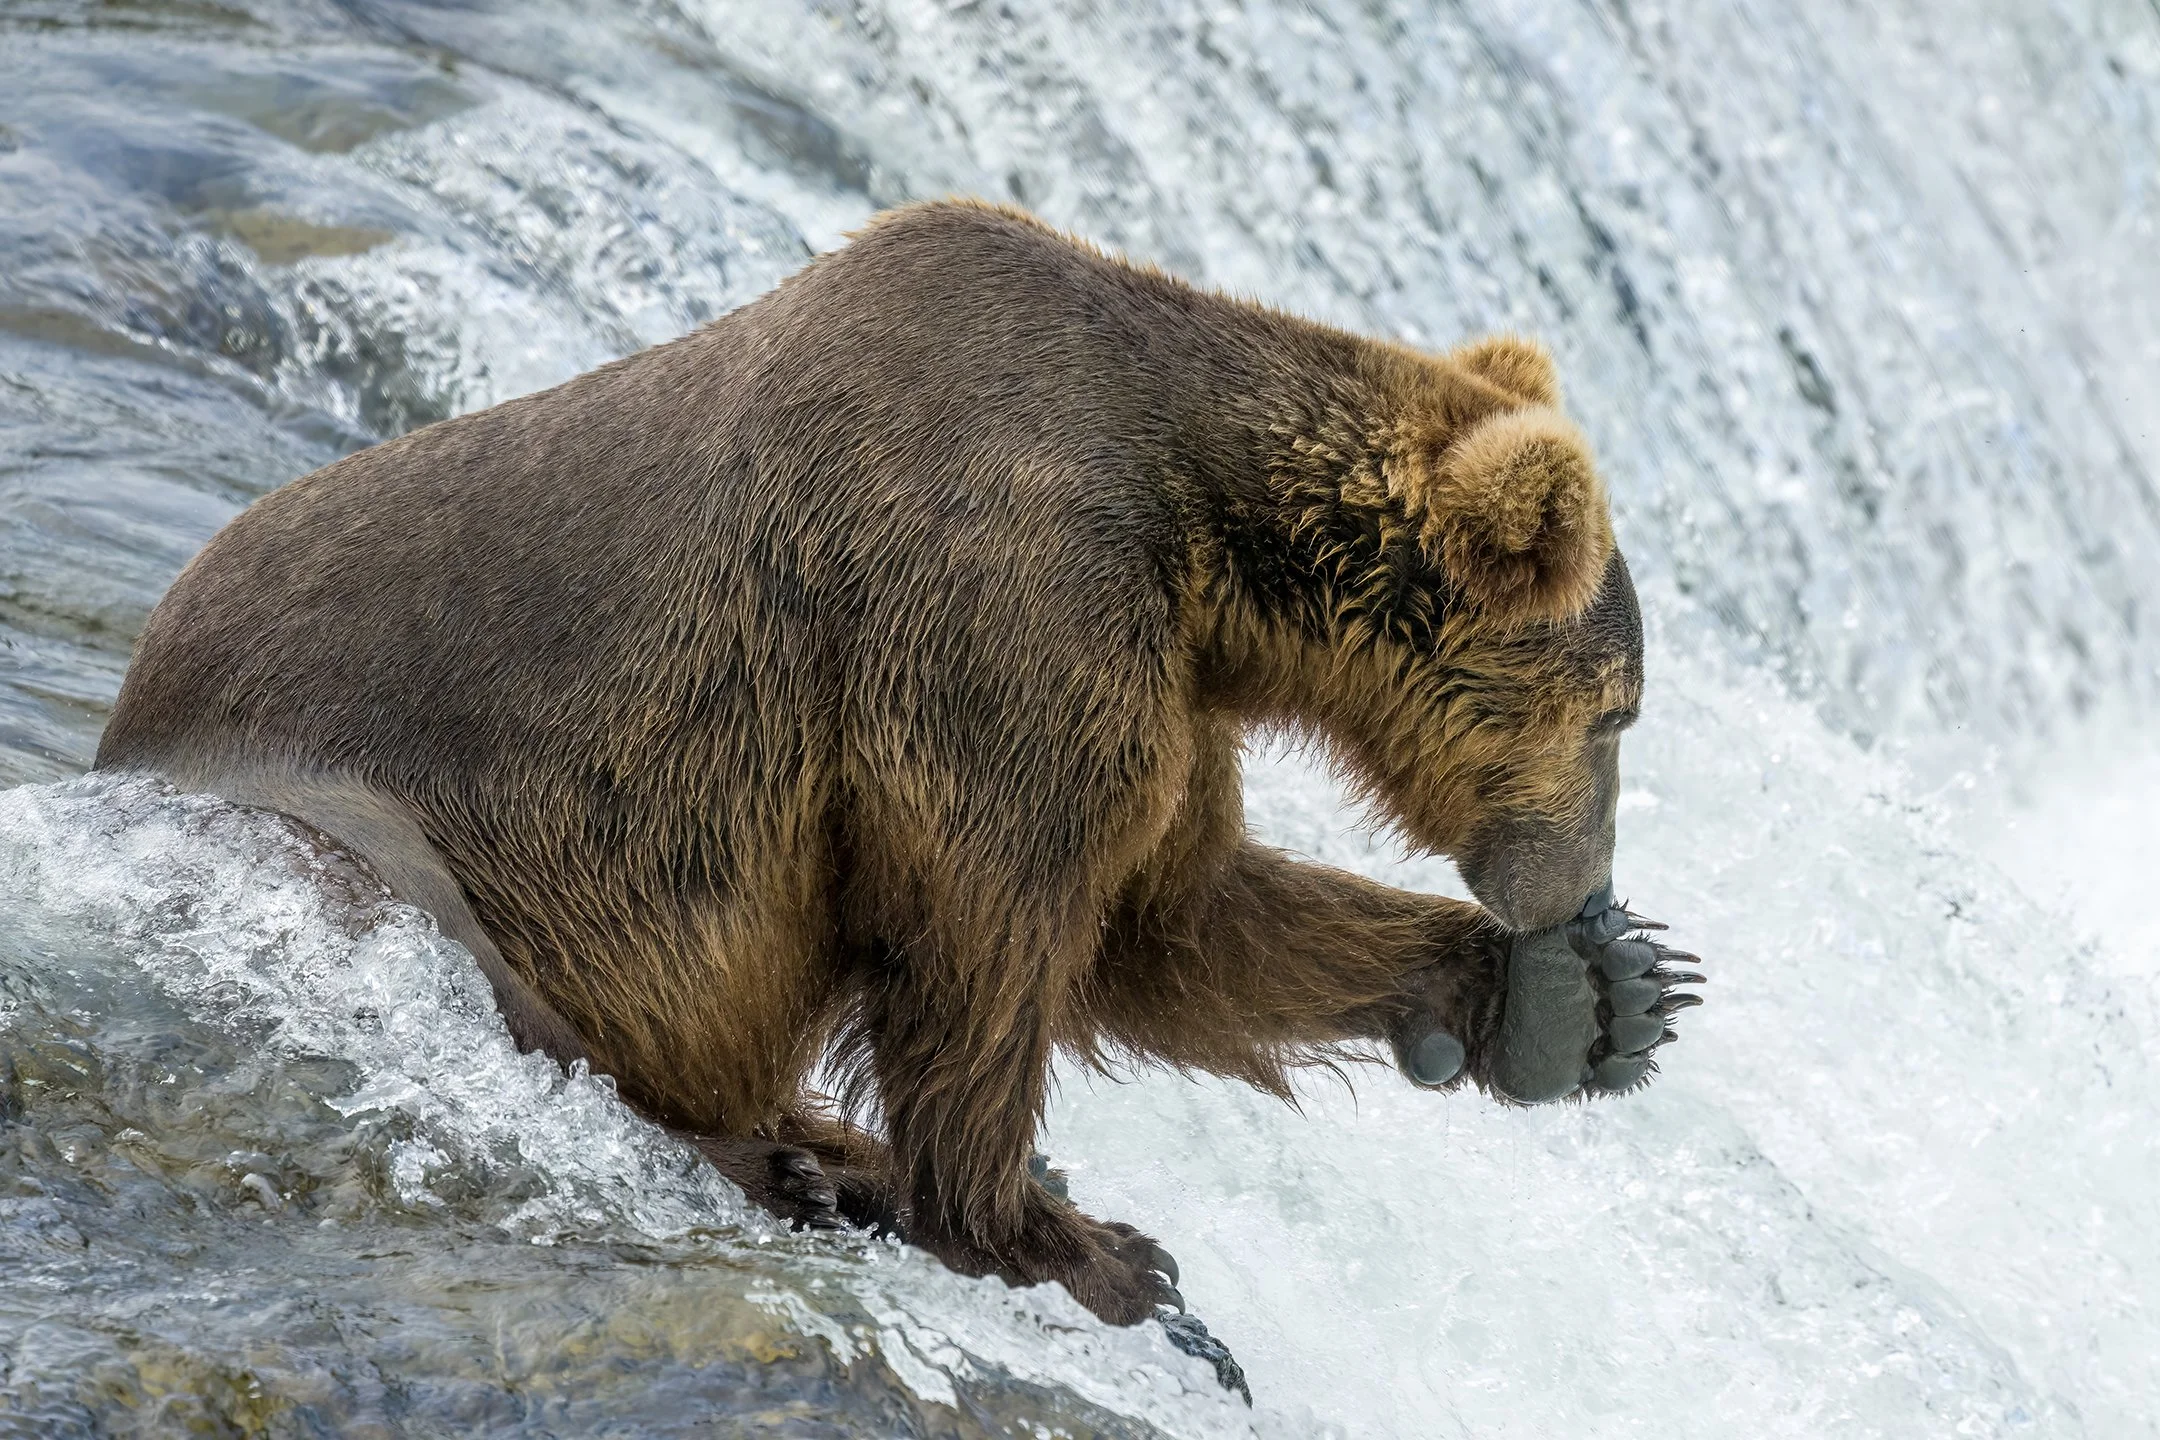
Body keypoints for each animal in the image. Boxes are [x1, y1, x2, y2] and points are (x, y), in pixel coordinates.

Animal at [95, 200, 1699, 1328]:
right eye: (1619, 711)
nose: (1581, 887)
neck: (1209, 540)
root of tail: (119, 706)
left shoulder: (1164, 684)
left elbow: (1172, 918)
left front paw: (1585, 1002)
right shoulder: (997, 606)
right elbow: (996, 932)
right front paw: (1080, 1244)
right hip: (366, 812)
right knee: (469, 965)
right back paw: (799, 1163)